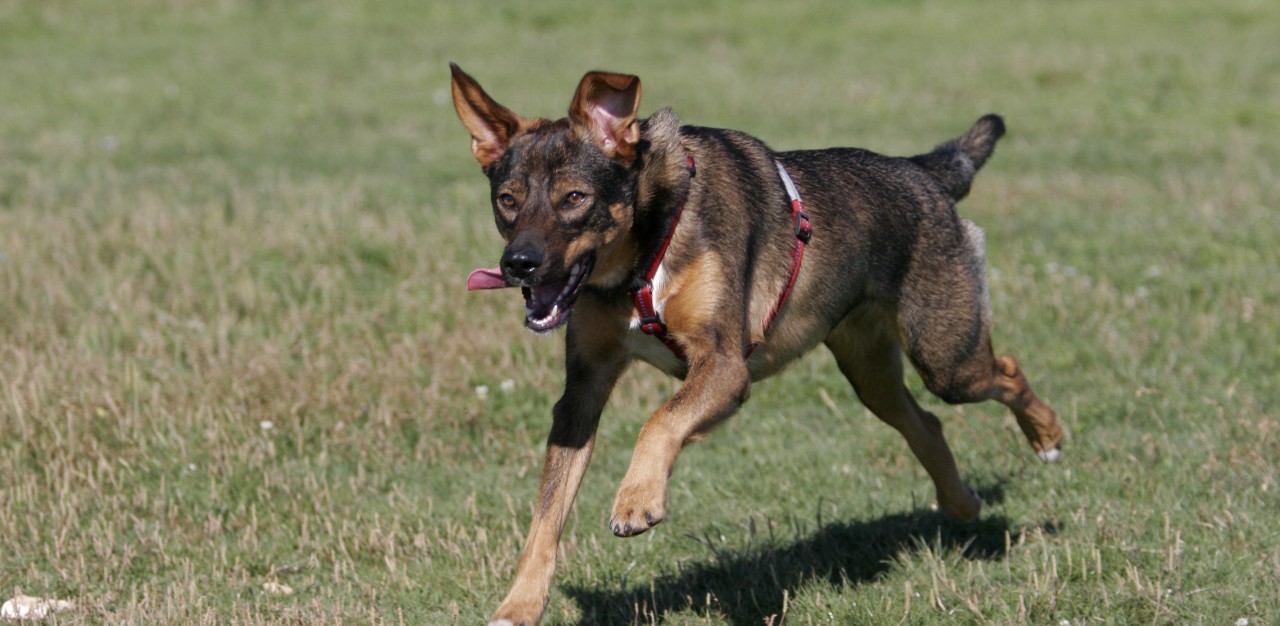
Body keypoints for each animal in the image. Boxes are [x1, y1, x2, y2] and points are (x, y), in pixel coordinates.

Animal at [448, 62, 1059, 624]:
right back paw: (962, 503)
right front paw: (519, 605)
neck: (643, 254)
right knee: (925, 423)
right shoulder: (583, 390)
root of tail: (919, 171)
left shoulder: (724, 366)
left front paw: (637, 499)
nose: (518, 264)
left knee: (1004, 370)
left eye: (574, 197)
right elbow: (546, 514)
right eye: (507, 200)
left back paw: (1047, 437)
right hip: (870, 371)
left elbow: (660, 421)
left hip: (946, 356)